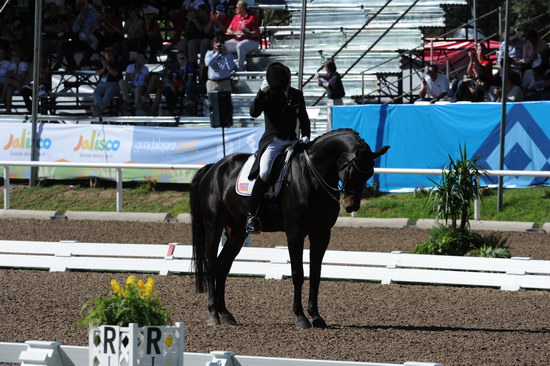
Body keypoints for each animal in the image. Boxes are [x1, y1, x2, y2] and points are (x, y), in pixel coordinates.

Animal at [192, 129, 390, 328]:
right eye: (351, 170)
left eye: (369, 174)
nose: (351, 206)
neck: (313, 175)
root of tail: (214, 167)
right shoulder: (295, 232)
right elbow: (298, 273)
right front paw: (301, 317)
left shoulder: (322, 233)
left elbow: (315, 274)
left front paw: (316, 316)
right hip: (214, 224)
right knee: (211, 264)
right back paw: (213, 314)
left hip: (237, 231)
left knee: (223, 266)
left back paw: (225, 313)